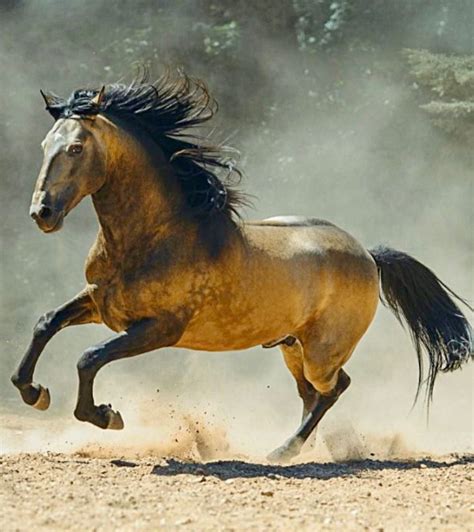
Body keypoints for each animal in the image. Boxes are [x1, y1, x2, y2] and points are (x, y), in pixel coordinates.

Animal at [10, 69, 470, 462]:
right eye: (44, 147)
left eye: (75, 148)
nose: (42, 213)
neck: (153, 236)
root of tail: (369, 256)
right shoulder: (100, 303)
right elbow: (47, 323)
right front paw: (33, 391)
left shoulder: (161, 328)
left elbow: (89, 357)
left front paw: (107, 416)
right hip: (291, 346)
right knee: (311, 395)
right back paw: (309, 447)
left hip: (323, 352)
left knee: (335, 387)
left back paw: (285, 451)